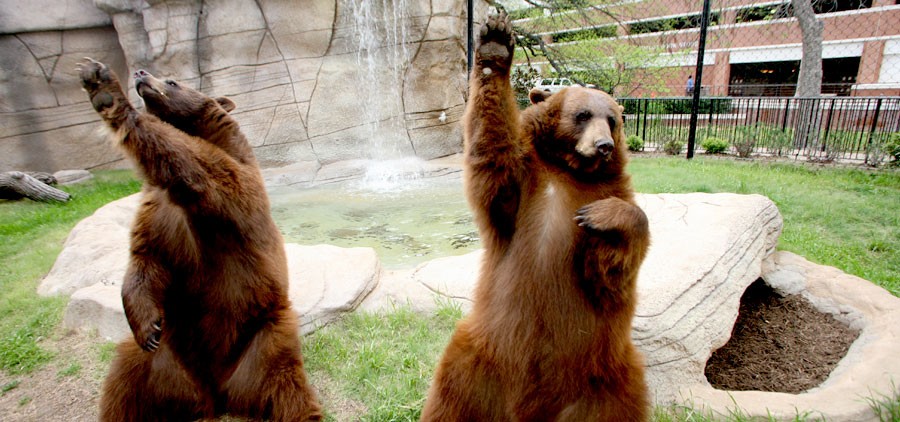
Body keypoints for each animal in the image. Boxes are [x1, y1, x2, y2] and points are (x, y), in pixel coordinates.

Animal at [76, 58, 322, 422]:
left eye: (172, 80)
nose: (141, 73)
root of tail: (215, 395)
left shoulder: (231, 190)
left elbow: (194, 164)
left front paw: (105, 90)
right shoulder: (157, 212)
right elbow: (145, 258)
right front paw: (146, 326)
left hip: (264, 335)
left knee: (286, 386)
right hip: (167, 355)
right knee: (124, 380)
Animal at [420, 13, 650, 422]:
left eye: (612, 119)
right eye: (582, 115)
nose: (604, 146)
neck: (569, 171)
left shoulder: (610, 192)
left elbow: (610, 273)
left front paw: (601, 218)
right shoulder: (522, 189)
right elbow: (494, 160)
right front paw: (495, 44)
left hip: (606, 375)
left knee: (622, 402)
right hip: (478, 357)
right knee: (450, 396)